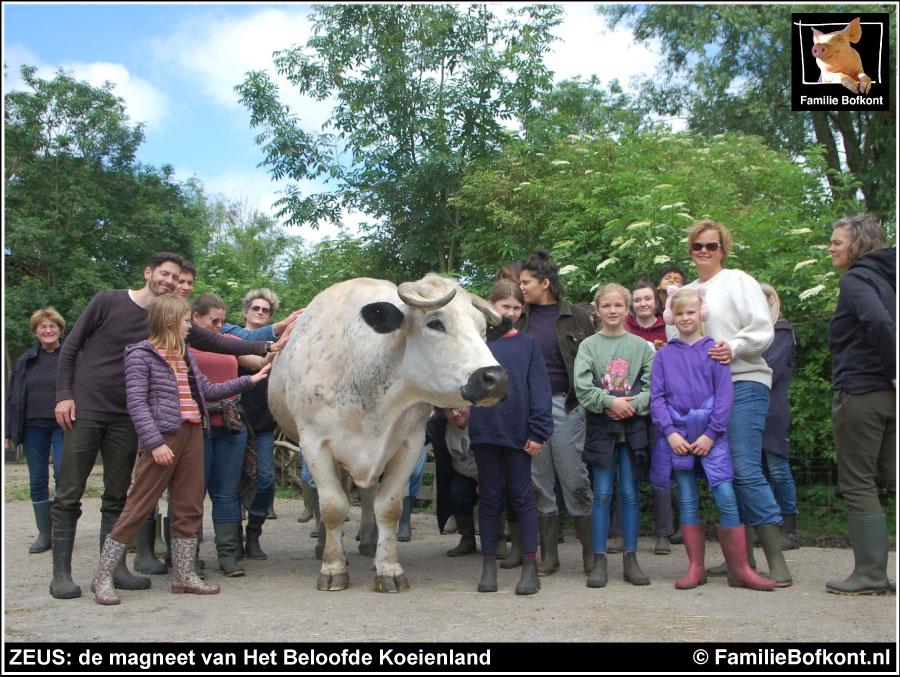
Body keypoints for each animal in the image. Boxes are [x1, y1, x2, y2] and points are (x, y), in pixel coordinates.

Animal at [266, 272, 506, 588]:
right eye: (435, 323)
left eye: (483, 329)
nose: (495, 378)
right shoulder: (315, 443)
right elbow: (332, 506)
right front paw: (333, 567)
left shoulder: (409, 442)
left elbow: (389, 507)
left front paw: (389, 568)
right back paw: (324, 546)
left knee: (367, 495)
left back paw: (369, 541)